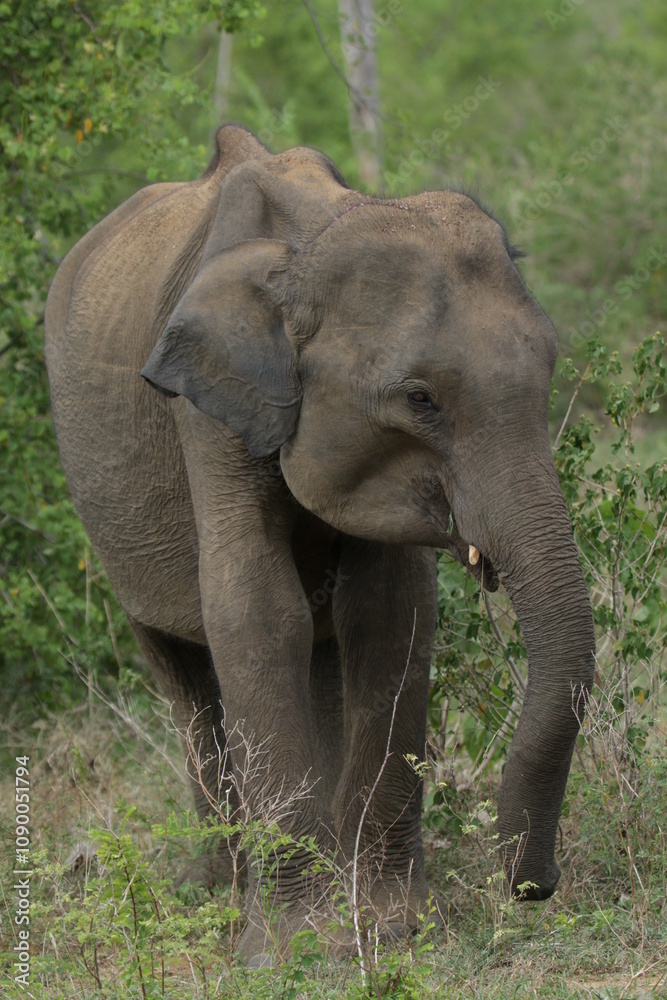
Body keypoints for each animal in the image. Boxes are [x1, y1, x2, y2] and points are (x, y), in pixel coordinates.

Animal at [45, 124, 595, 963]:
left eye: (550, 367)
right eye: (419, 399)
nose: (532, 884)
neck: (310, 241)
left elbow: (390, 613)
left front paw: (390, 932)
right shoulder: (209, 407)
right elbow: (256, 609)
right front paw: (291, 950)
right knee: (182, 676)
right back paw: (223, 895)